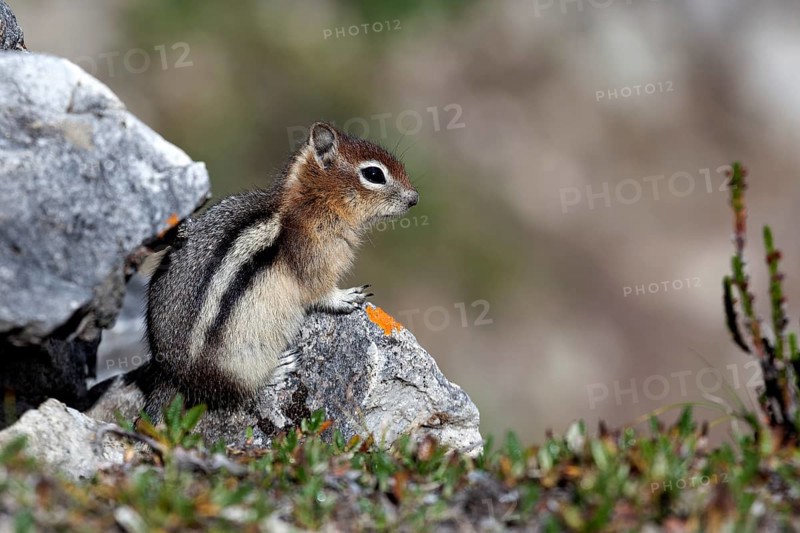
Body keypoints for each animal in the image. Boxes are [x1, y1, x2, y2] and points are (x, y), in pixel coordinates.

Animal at [136, 122, 418, 420]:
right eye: (374, 174)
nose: (415, 199)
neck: (313, 203)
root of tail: (170, 376)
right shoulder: (316, 262)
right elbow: (321, 293)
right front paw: (346, 297)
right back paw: (277, 369)